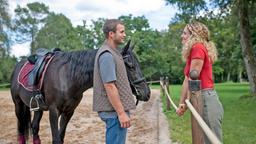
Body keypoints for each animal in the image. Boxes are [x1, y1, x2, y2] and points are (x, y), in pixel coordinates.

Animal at [10, 41, 150, 143]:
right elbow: (56, 139)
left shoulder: (69, 111)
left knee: (34, 128)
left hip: (38, 108)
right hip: (18, 105)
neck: (67, 76)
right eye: (130, 65)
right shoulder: (53, 111)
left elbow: (61, 137)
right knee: (21, 130)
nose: (146, 93)